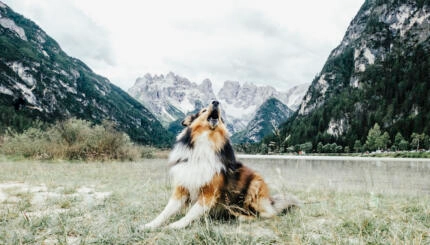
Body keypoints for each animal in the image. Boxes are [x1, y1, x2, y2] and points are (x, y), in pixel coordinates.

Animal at [141, 100, 298, 229]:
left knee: (265, 214)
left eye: (221, 117)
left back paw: (241, 217)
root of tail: (271, 201)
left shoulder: (209, 193)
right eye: (203, 110)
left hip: (255, 185)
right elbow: (166, 211)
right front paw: (149, 225)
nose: (216, 102)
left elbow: (191, 212)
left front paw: (176, 225)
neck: (206, 141)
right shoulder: (181, 189)